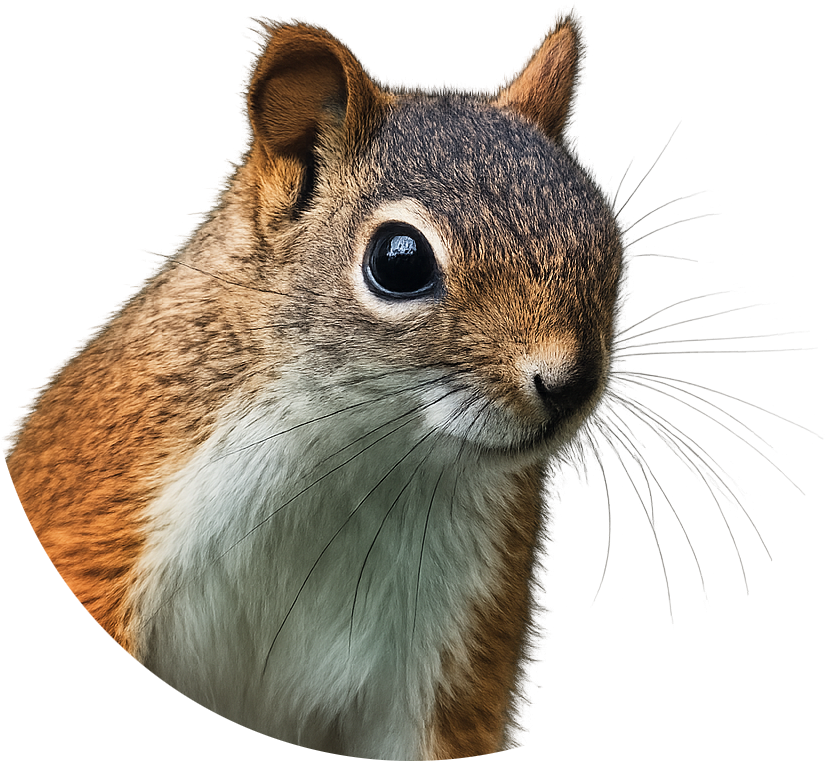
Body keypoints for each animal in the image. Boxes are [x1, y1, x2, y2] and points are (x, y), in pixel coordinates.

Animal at [4, 8, 818, 759]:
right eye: (398, 261)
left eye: (605, 236)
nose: (569, 382)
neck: (353, 451)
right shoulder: (108, 505)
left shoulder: (454, 646)